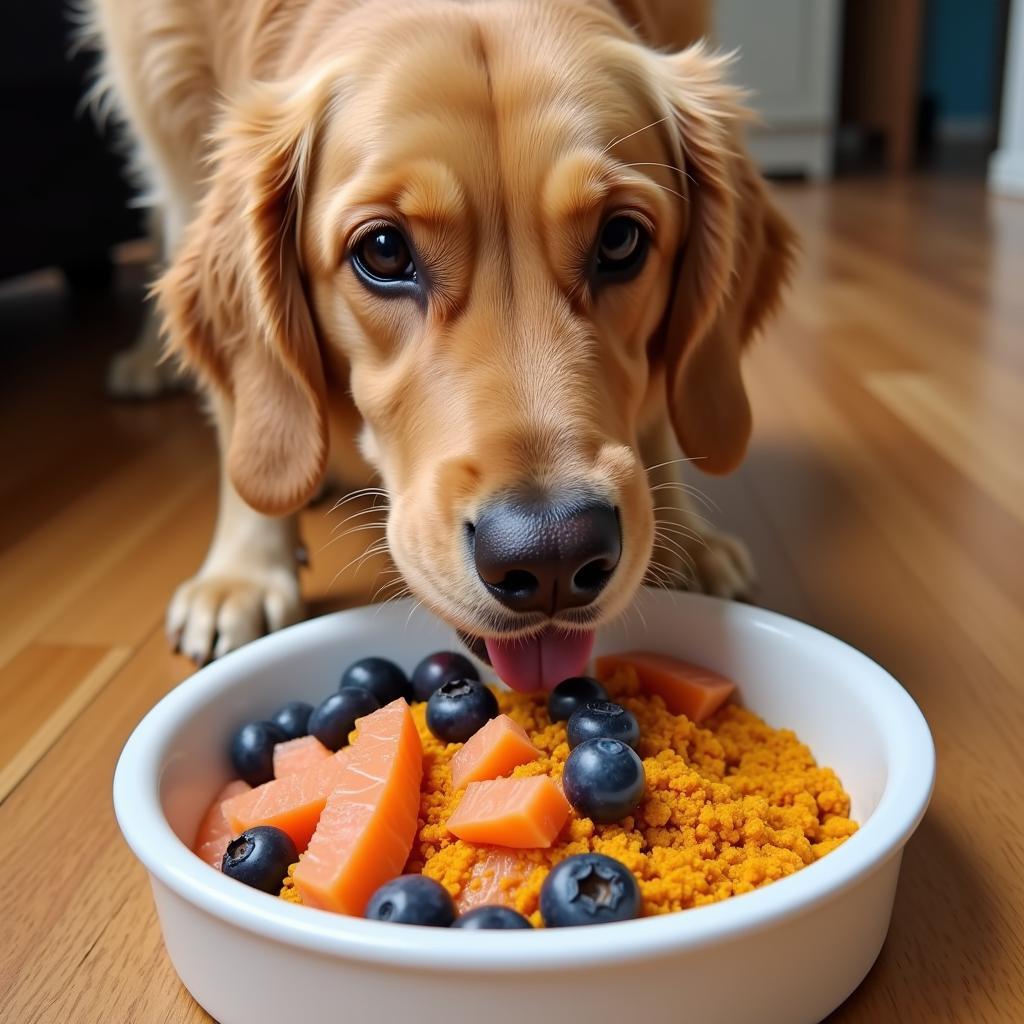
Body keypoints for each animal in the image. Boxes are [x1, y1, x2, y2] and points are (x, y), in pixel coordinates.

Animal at [88, 0, 790, 692]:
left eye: (621, 240)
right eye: (382, 250)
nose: (553, 555)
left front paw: (683, 540)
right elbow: (241, 408)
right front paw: (244, 572)